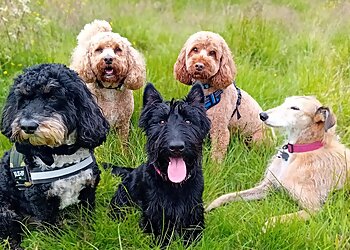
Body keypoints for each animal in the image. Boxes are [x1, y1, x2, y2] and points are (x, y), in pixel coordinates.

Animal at [0, 63, 108, 246]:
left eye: (52, 96)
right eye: (23, 99)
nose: (27, 126)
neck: (61, 154)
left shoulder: (87, 194)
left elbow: (87, 223)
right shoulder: (42, 204)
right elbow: (52, 232)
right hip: (6, 213)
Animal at [174, 30, 266, 162]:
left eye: (212, 53)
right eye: (195, 49)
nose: (199, 65)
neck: (206, 90)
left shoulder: (219, 128)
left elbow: (217, 153)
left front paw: (215, 166)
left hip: (257, 138)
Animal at [206, 96, 348, 229]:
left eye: (295, 108)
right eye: (285, 102)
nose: (262, 115)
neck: (298, 151)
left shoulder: (313, 209)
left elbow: (276, 219)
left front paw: (265, 227)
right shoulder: (267, 187)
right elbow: (228, 195)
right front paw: (209, 206)